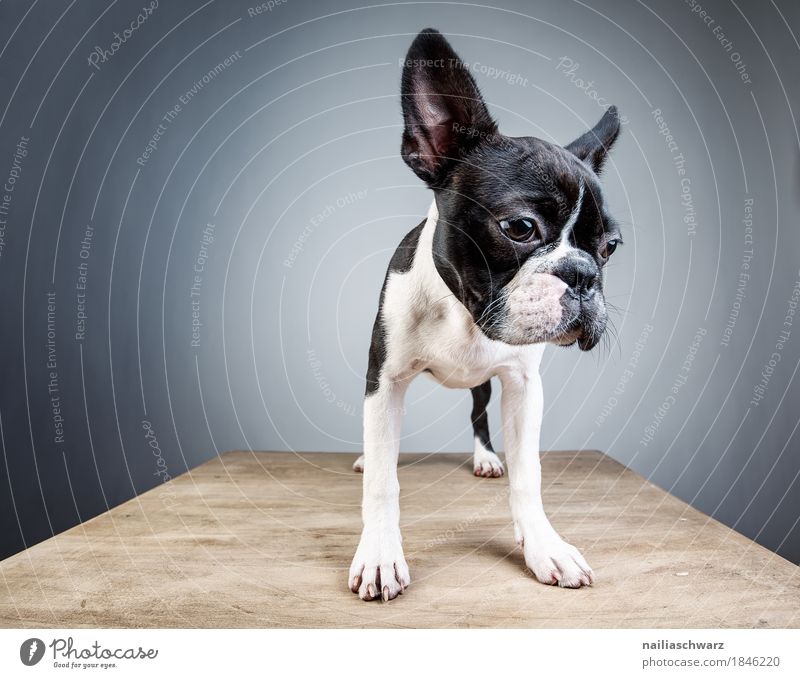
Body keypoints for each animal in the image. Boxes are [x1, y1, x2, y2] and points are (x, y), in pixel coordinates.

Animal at [348, 30, 620, 604]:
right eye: (519, 227)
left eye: (610, 247)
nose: (583, 274)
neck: (463, 312)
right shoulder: (384, 379)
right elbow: (382, 478)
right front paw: (380, 553)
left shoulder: (523, 386)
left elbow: (529, 475)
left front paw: (543, 545)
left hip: (483, 385)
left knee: (477, 414)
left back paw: (486, 458)